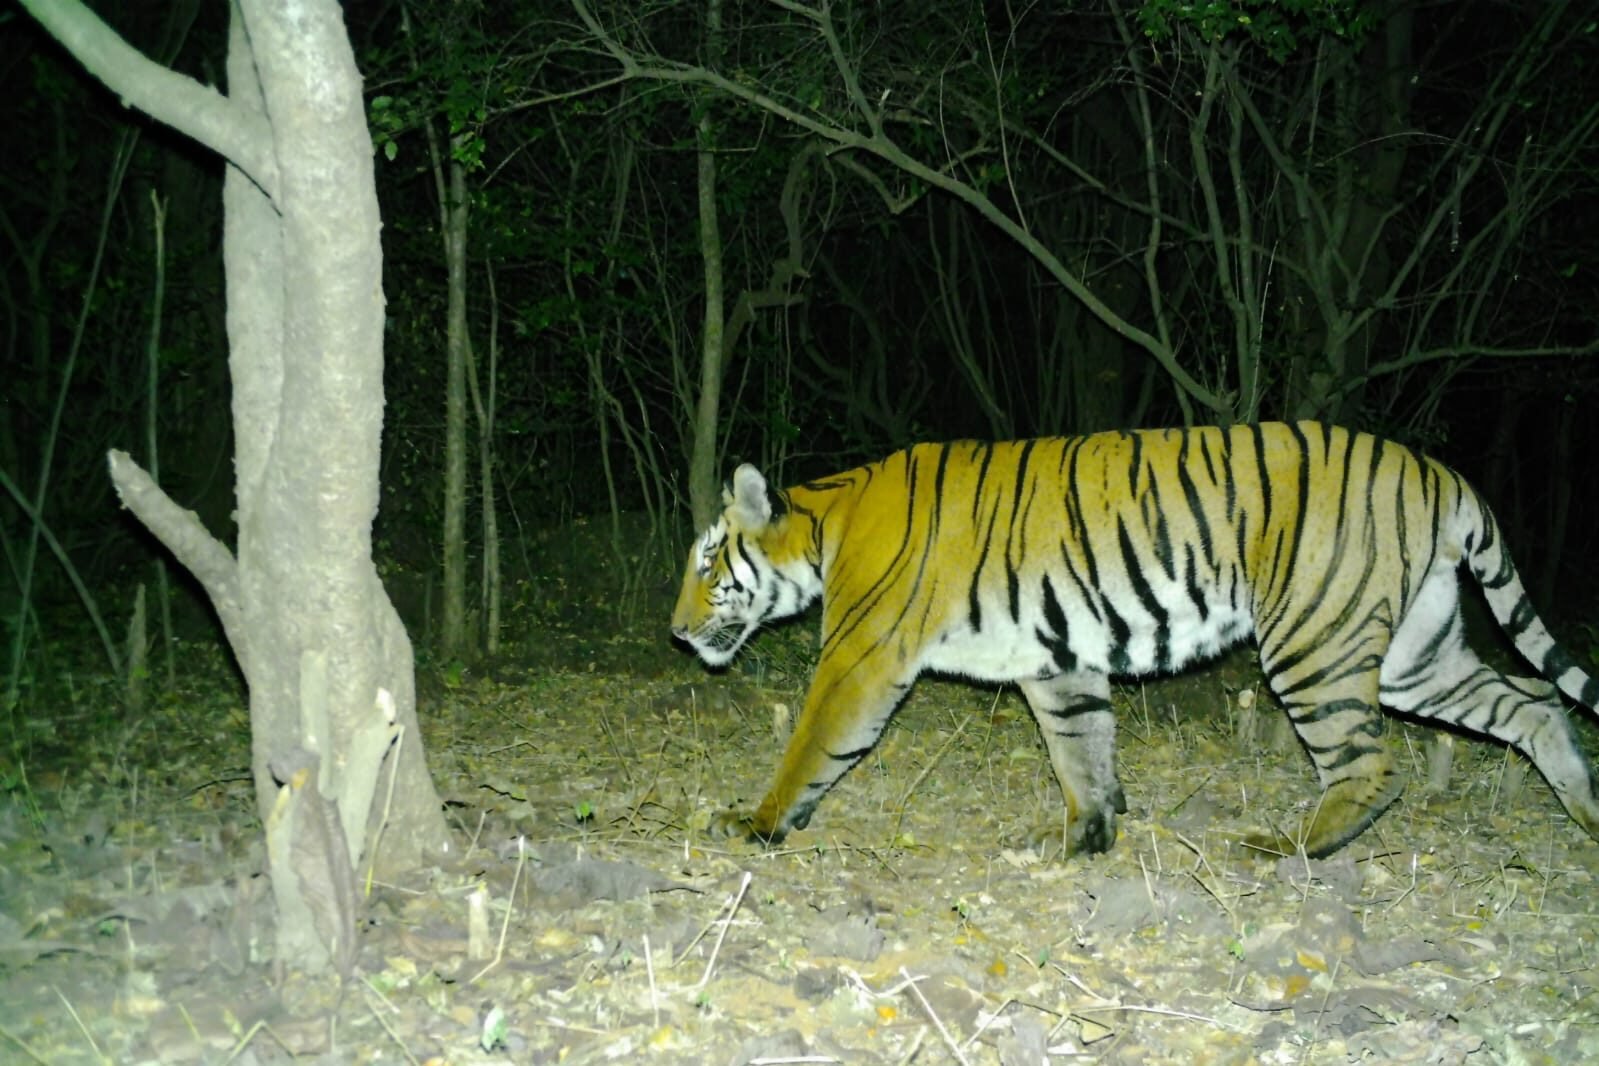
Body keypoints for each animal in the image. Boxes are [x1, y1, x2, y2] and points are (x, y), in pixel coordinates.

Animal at [671, 421, 1599, 859]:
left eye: (709, 560)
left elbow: (812, 744)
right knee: (1532, 700)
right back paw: (1585, 810)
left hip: (1315, 639)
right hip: (1413, 650)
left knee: (1371, 764)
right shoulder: (1058, 659)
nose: (676, 631)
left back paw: (1290, 846)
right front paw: (1085, 835)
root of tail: (1439, 470)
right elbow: (1081, 747)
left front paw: (756, 821)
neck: (827, 521)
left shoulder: (861, 655)